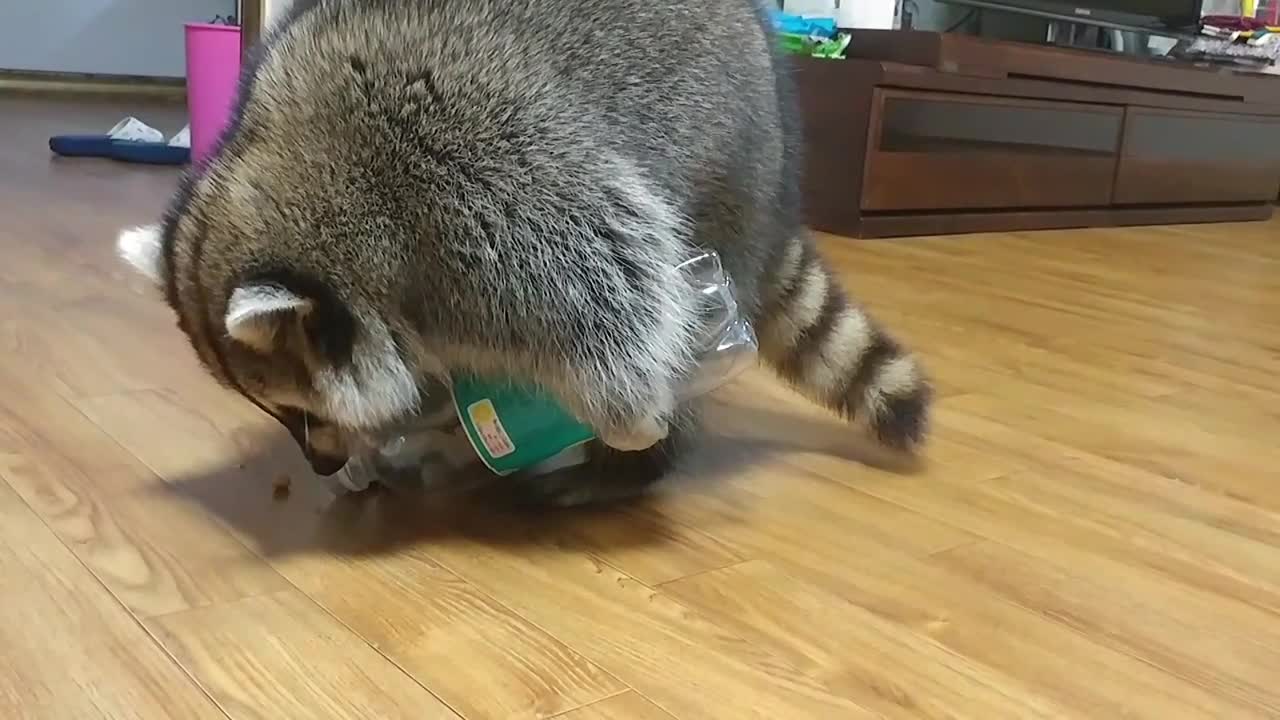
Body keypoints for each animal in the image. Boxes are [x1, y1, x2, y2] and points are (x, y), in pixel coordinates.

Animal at [115, 0, 931, 504]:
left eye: (295, 406)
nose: (322, 462)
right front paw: (412, 429)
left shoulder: (479, 181)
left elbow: (620, 291)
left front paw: (629, 417)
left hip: (723, 181)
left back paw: (629, 466)